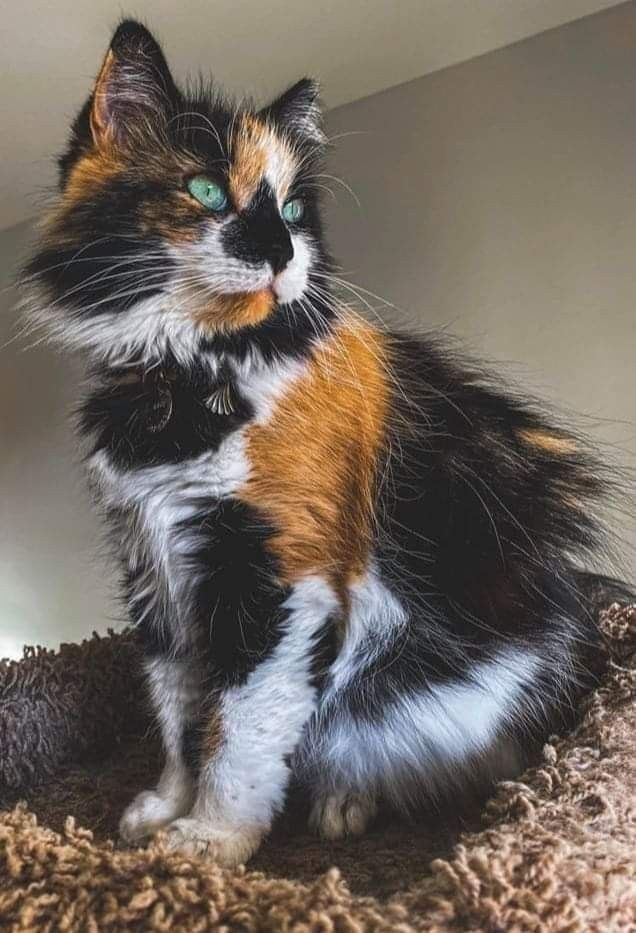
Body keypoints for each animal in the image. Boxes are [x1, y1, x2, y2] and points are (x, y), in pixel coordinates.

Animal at [21, 20, 628, 868]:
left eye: (294, 209)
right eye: (207, 191)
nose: (282, 250)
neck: (187, 373)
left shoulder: (280, 573)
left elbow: (239, 725)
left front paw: (209, 843)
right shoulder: (154, 566)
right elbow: (178, 711)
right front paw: (164, 810)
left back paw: (344, 804)